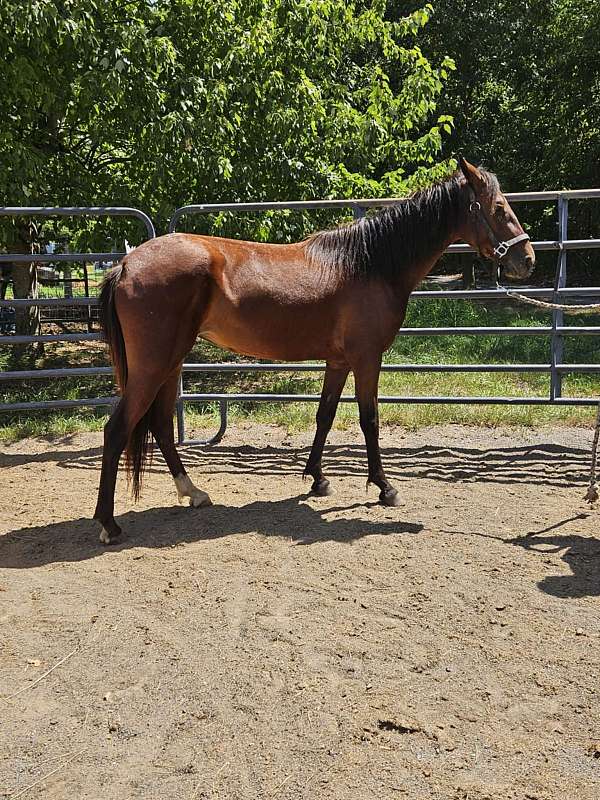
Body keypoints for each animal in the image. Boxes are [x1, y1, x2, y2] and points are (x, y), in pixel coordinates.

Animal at [94, 156, 536, 544]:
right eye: (499, 208)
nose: (527, 259)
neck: (370, 264)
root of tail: (127, 264)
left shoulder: (338, 362)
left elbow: (324, 416)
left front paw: (318, 479)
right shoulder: (366, 359)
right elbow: (369, 420)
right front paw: (384, 487)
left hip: (170, 364)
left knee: (161, 427)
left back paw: (193, 493)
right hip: (154, 365)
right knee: (117, 430)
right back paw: (109, 525)